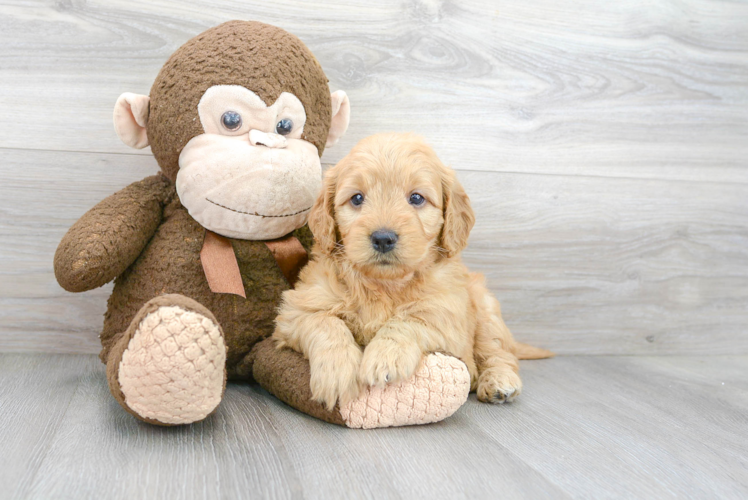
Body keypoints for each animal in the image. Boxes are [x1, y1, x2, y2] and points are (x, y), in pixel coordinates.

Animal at [272, 133, 548, 410]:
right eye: (357, 198)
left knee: (498, 352)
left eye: (416, 198)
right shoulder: (298, 309)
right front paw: (338, 372)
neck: (385, 284)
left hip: (486, 309)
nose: (383, 238)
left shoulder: (447, 314)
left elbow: (409, 320)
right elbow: (325, 323)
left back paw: (499, 382)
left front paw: (384, 357)